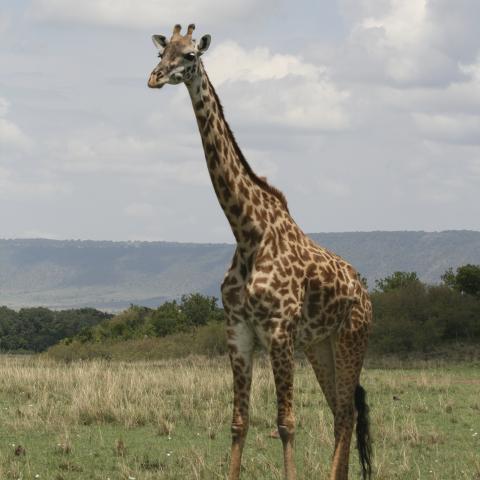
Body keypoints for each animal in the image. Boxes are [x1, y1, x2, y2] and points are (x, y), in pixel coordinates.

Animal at [148, 24, 374, 478]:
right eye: (163, 53)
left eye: (190, 56)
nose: (154, 78)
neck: (248, 232)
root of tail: (366, 294)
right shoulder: (238, 331)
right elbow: (239, 421)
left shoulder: (279, 331)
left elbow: (286, 423)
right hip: (320, 346)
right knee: (342, 413)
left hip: (350, 339)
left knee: (346, 412)